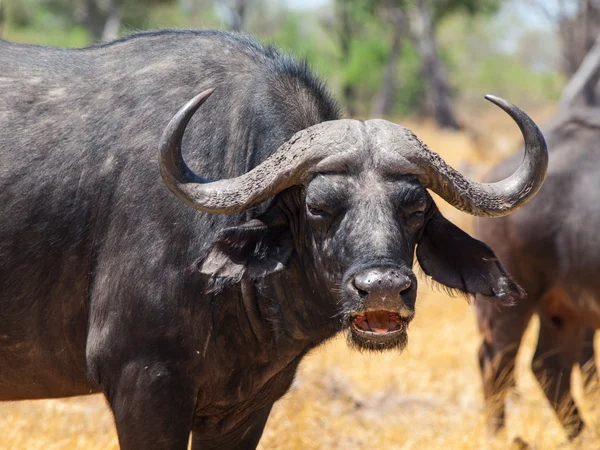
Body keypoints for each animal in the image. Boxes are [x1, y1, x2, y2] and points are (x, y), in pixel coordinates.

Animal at [474, 106, 600, 440]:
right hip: (509, 305)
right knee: (496, 361)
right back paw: (499, 437)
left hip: (563, 310)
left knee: (548, 367)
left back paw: (581, 436)